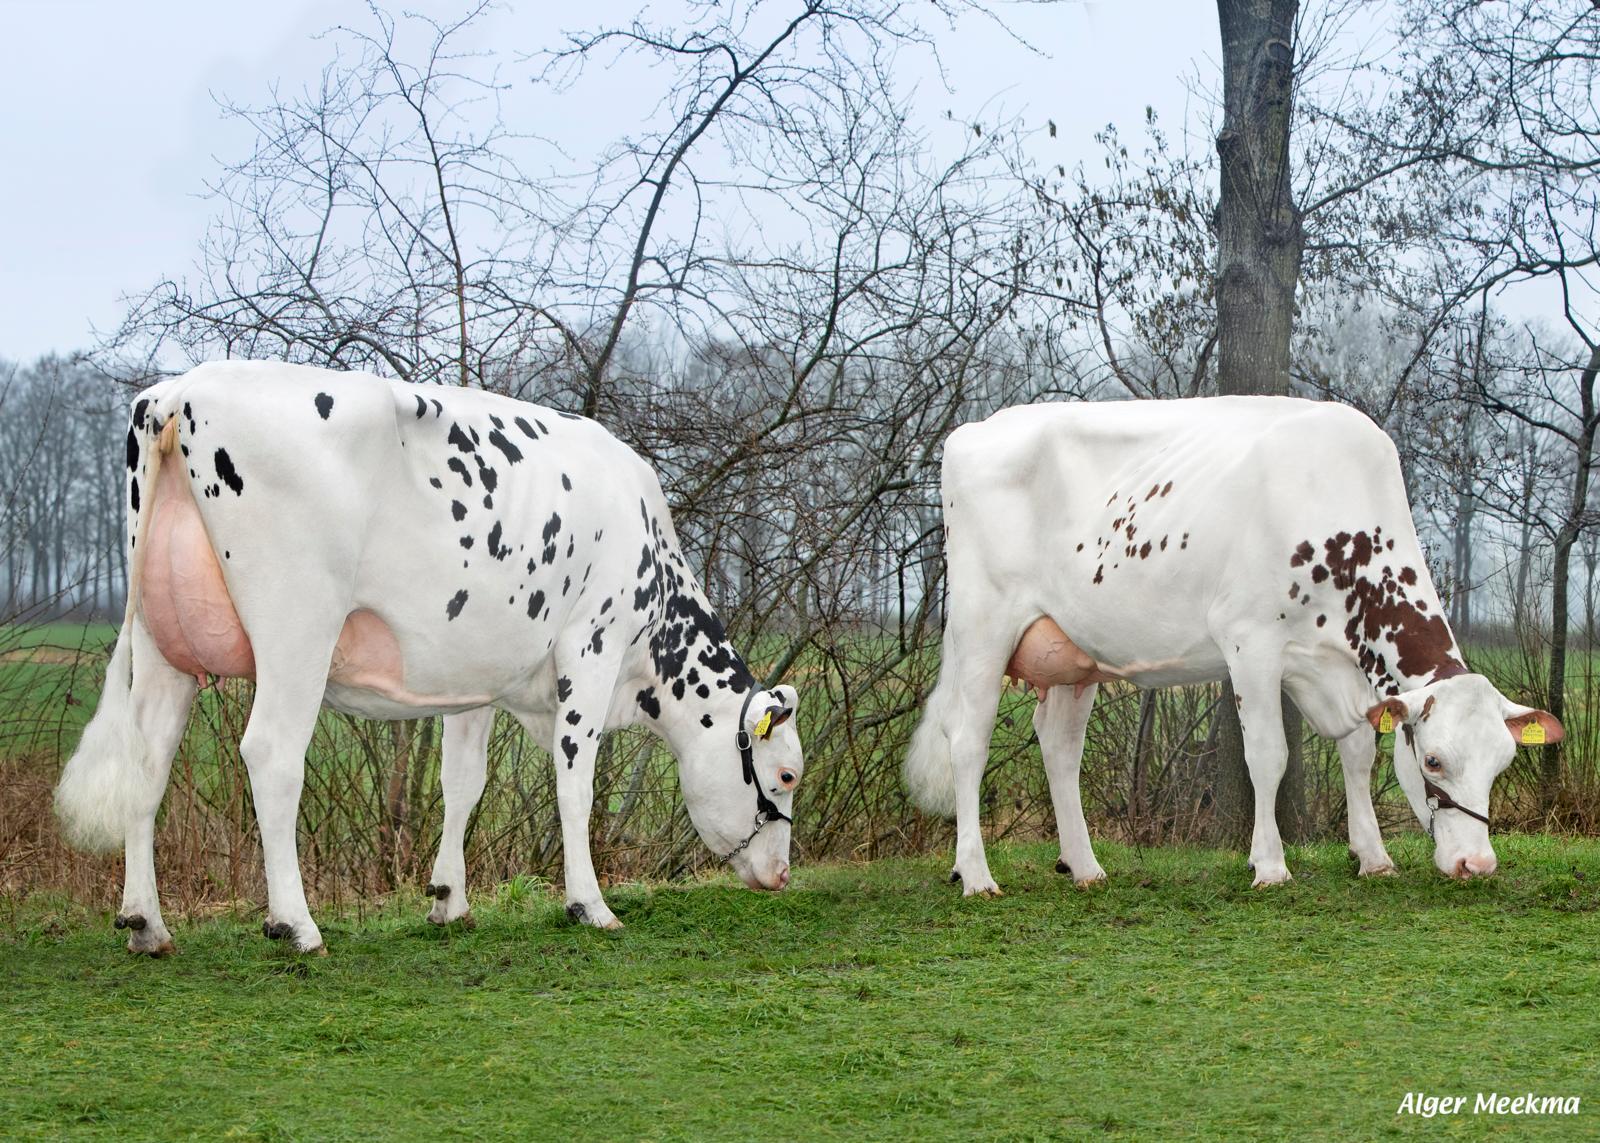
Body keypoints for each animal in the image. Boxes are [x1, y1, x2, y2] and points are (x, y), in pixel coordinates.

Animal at [56, 360, 806, 947]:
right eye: (787, 775)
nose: (782, 876)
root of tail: (179, 390)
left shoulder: (475, 678)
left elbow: (462, 782)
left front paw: (450, 900)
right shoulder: (593, 645)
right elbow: (576, 785)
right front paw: (590, 905)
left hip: (162, 643)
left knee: (148, 760)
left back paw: (147, 923)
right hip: (298, 630)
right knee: (271, 754)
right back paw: (296, 923)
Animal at [908, 398, 1555, 890]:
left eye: (1503, 762)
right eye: (1434, 761)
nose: (1477, 863)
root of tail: (975, 428)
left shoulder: (1334, 670)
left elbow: (1358, 752)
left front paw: (1373, 856)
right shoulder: (1251, 643)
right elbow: (1267, 756)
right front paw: (1269, 865)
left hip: (1073, 654)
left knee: (1060, 749)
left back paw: (1086, 867)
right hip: (983, 626)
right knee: (968, 742)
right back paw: (976, 876)